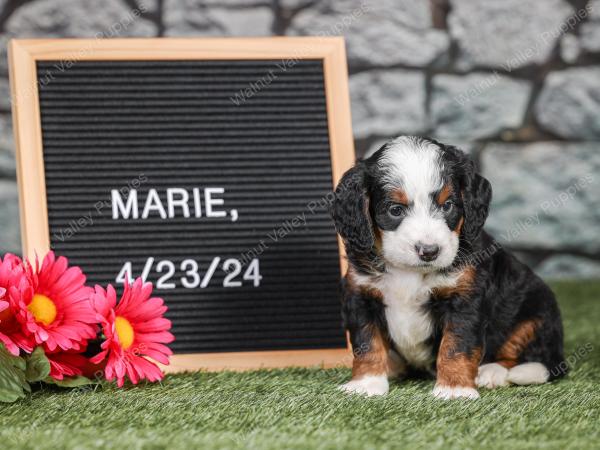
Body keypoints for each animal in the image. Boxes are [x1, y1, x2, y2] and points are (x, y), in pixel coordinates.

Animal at [330, 135, 564, 400]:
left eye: (447, 205)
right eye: (395, 210)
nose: (429, 251)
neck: (409, 271)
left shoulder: (464, 298)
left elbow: (456, 345)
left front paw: (455, 389)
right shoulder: (361, 294)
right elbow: (367, 343)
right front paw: (366, 384)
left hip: (536, 311)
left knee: (531, 356)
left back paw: (491, 372)